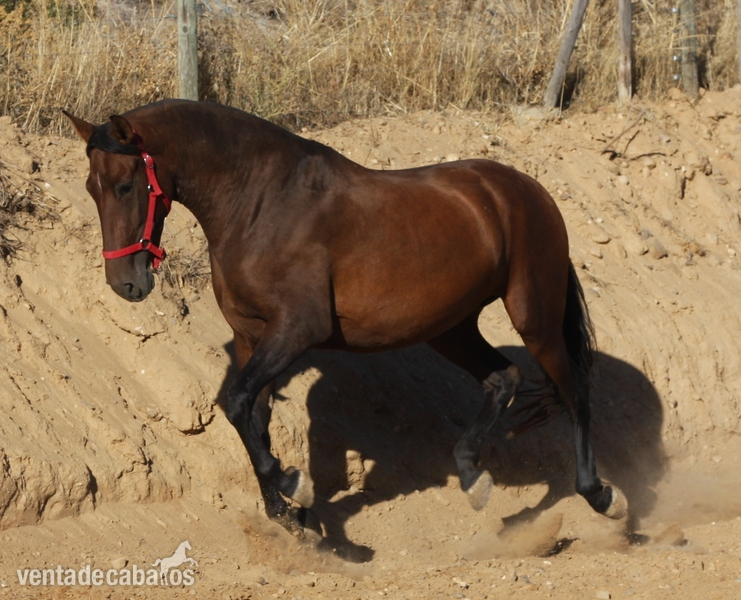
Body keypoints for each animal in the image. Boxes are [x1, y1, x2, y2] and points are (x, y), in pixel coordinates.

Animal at [63, 100, 627, 545]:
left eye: (126, 185)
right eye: (92, 188)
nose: (125, 283)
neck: (260, 202)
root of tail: (529, 190)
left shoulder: (296, 330)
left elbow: (238, 403)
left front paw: (291, 487)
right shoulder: (251, 338)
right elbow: (250, 416)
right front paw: (290, 517)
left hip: (534, 316)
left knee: (575, 391)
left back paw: (601, 496)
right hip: (451, 327)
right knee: (503, 378)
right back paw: (472, 476)